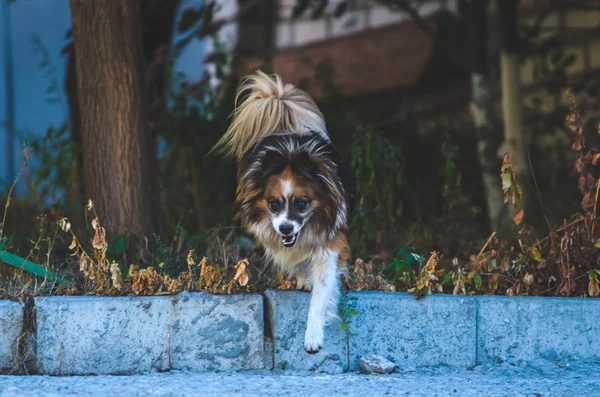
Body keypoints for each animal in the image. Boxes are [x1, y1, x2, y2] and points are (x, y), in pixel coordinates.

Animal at [213, 69, 354, 352]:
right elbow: (294, 258)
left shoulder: (330, 246)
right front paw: (303, 276)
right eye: (274, 204)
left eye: (302, 203)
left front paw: (313, 337)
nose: (286, 228)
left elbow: (319, 298)